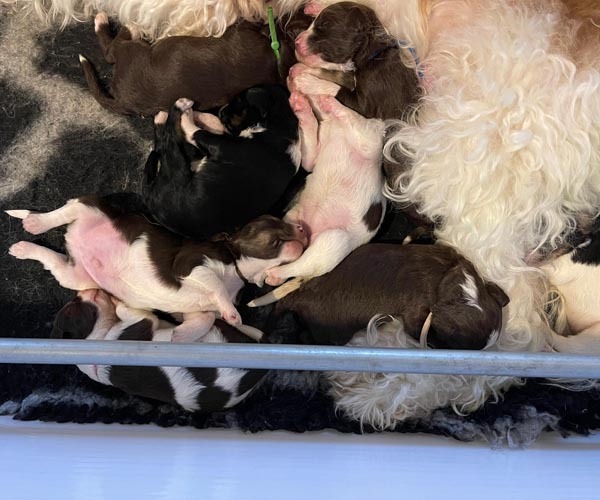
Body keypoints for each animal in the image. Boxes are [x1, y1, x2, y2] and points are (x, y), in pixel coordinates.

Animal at [7, 193, 307, 341]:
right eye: (275, 227)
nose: (303, 228)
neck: (238, 269)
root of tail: (75, 240)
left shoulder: (196, 311)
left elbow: (206, 318)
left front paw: (180, 336)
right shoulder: (191, 265)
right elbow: (216, 285)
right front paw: (233, 315)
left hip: (75, 276)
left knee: (51, 258)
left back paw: (23, 247)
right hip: (91, 207)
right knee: (67, 209)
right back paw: (35, 222)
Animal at [52, 289, 267, 412]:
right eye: (71, 308)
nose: (80, 293)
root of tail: (257, 371)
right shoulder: (139, 325)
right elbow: (132, 313)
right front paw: (117, 301)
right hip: (222, 332)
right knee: (222, 322)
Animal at [143, 85, 303, 240]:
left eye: (239, 101)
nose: (220, 110)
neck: (279, 130)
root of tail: (149, 199)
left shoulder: (222, 145)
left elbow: (198, 132)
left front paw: (188, 117)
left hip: (176, 168)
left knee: (168, 140)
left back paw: (178, 109)